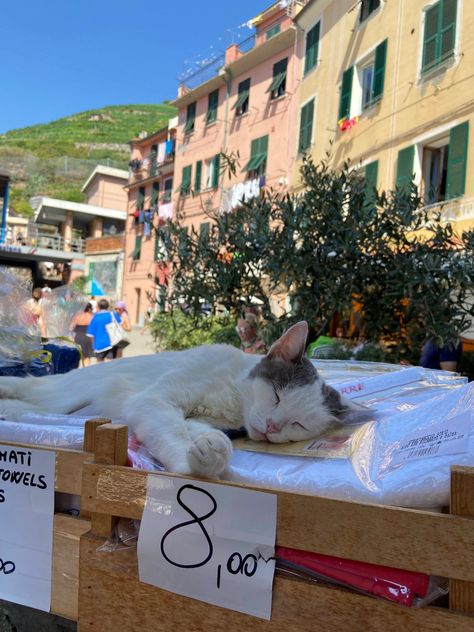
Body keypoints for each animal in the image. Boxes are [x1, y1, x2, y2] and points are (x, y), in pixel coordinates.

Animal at [0, 324, 360, 476]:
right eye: (276, 396)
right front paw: (188, 467)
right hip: (61, 394)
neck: (233, 401)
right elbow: (172, 432)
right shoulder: (156, 400)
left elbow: (198, 431)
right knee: (28, 387)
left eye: (298, 424)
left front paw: (210, 452)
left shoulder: (205, 420)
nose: (272, 426)